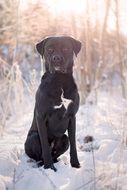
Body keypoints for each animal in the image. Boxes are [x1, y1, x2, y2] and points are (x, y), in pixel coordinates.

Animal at [24, 36, 81, 172]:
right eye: (49, 49)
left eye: (65, 48)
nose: (56, 58)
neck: (59, 80)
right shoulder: (41, 117)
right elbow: (45, 145)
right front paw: (49, 167)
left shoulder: (72, 116)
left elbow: (74, 143)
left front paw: (75, 164)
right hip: (33, 138)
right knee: (40, 156)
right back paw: (43, 164)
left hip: (64, 139)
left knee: (58, 150)